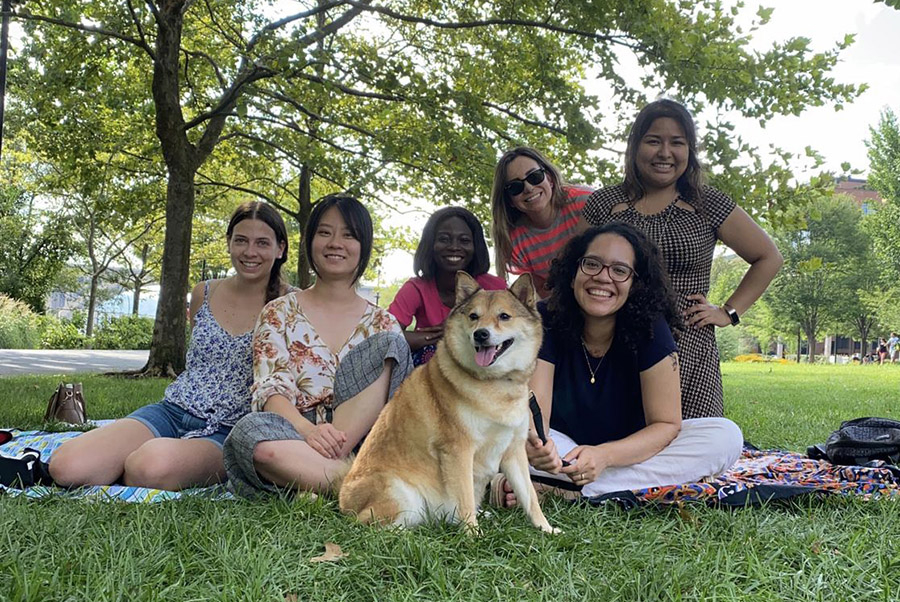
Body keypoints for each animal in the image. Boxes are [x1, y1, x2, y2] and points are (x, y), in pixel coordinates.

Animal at [342, 272, 560, 528]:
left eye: (504, 316)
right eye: (473, 316)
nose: (480, 334)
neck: (495, 382)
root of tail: (343, 501)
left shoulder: (514, 450)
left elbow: (530, 497)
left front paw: (546, 529)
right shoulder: (458, 450)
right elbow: (465, 499)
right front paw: (473, 534)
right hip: (399, 493)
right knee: (373, 524)